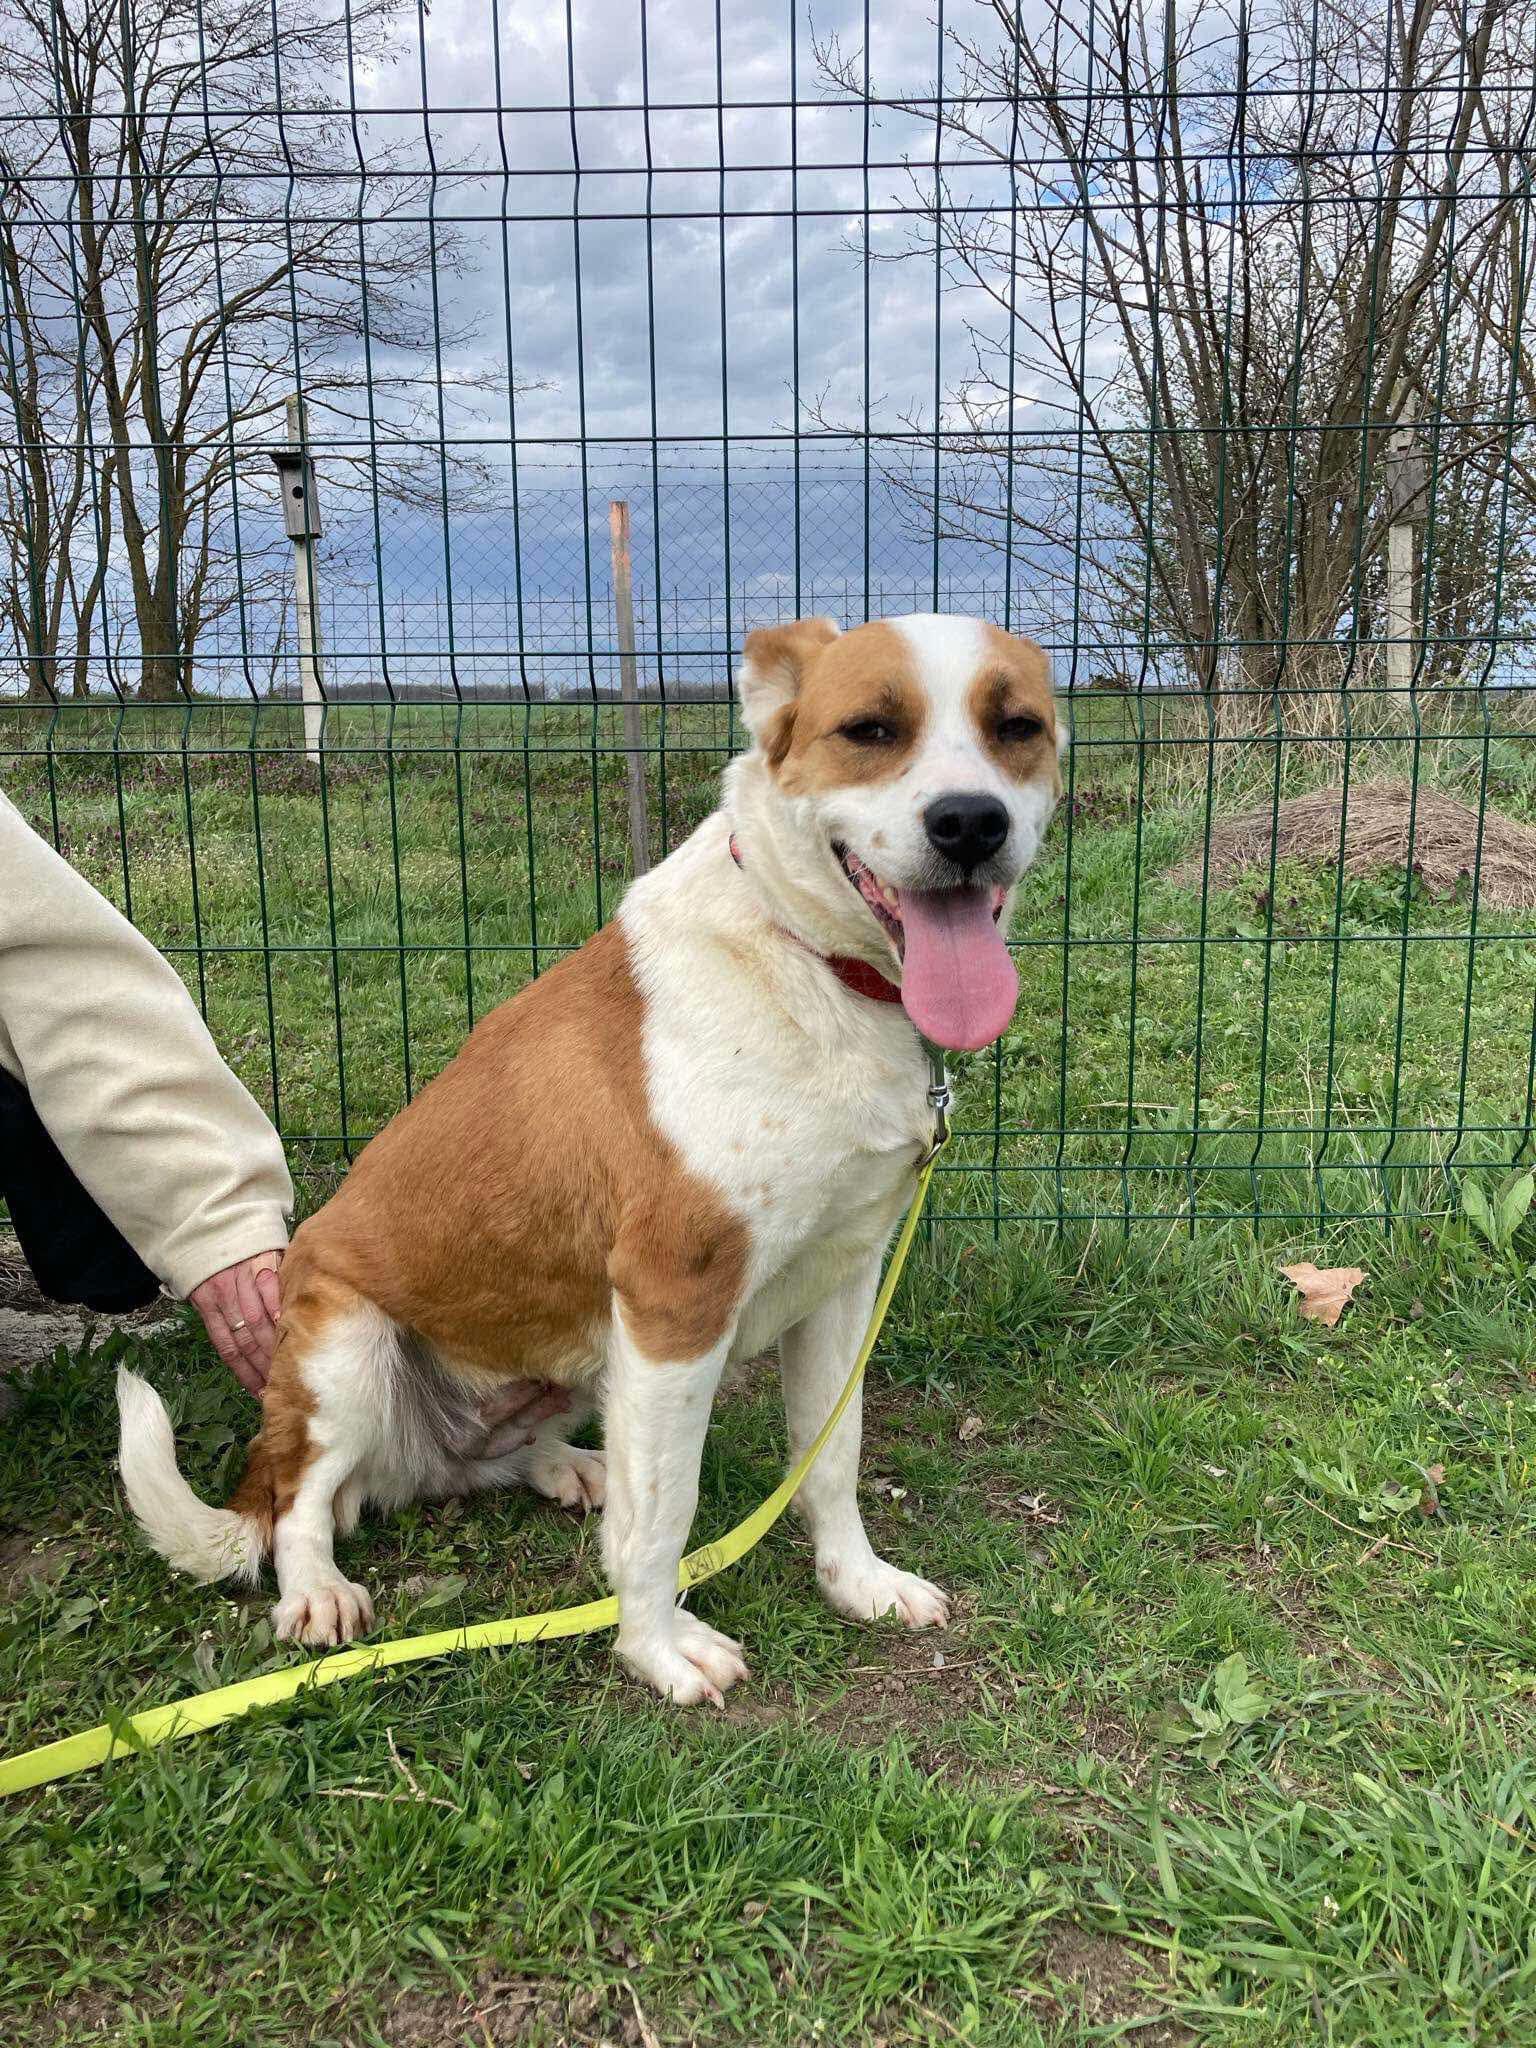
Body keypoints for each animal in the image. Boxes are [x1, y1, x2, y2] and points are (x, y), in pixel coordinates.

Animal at [117, 614, 1063, 1704]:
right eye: (870, 728)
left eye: (1017, 727)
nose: (970, 824)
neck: (813, 965)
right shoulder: (673, 1304)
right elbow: (666, 1518)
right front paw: (656, 1644)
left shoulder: (841, 1281)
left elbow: (829, 1456)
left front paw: (856, 1580)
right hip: (345, 1347)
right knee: (300, 1500)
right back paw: (317, 1587)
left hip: (578, 1350)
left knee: (499, 1455)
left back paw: (572, 1465)